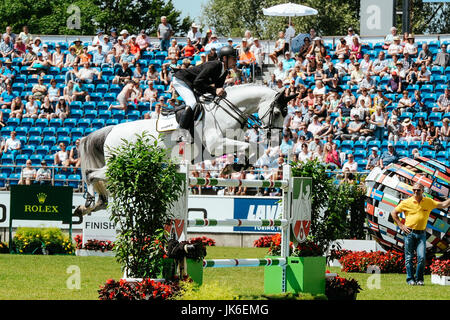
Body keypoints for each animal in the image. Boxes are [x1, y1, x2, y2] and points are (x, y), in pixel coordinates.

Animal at [73, 84, 298, 216]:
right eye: (277, 112)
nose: (278, 139)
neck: (227, 111)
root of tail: (111, 130)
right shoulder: (216, 144)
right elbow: (251, 146)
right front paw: (231, 167)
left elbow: (254, 149)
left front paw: (234, 167)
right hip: (120, 164)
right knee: (90, 174)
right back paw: (89, 203)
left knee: (95, 178)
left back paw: (94, 204)